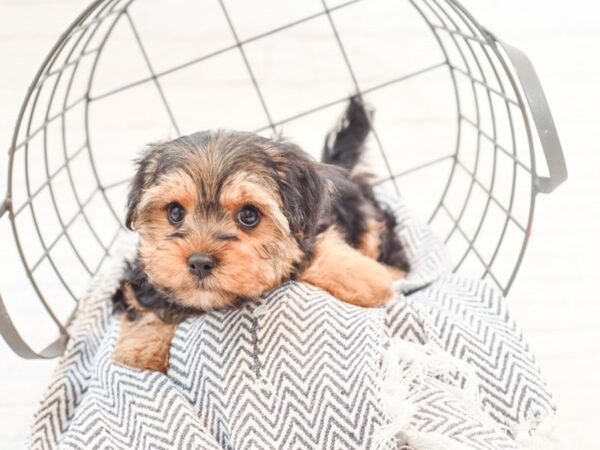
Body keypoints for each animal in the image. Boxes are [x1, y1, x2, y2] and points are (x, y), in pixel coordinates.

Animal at [112, 98, 408, 372]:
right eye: (174, 212)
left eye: (249, 215)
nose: (199, 262)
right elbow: (144, 302)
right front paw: (142, 348)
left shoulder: (311, 230)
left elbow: (314, 252)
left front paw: (366, 278)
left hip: (366, 215)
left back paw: (392, 271)